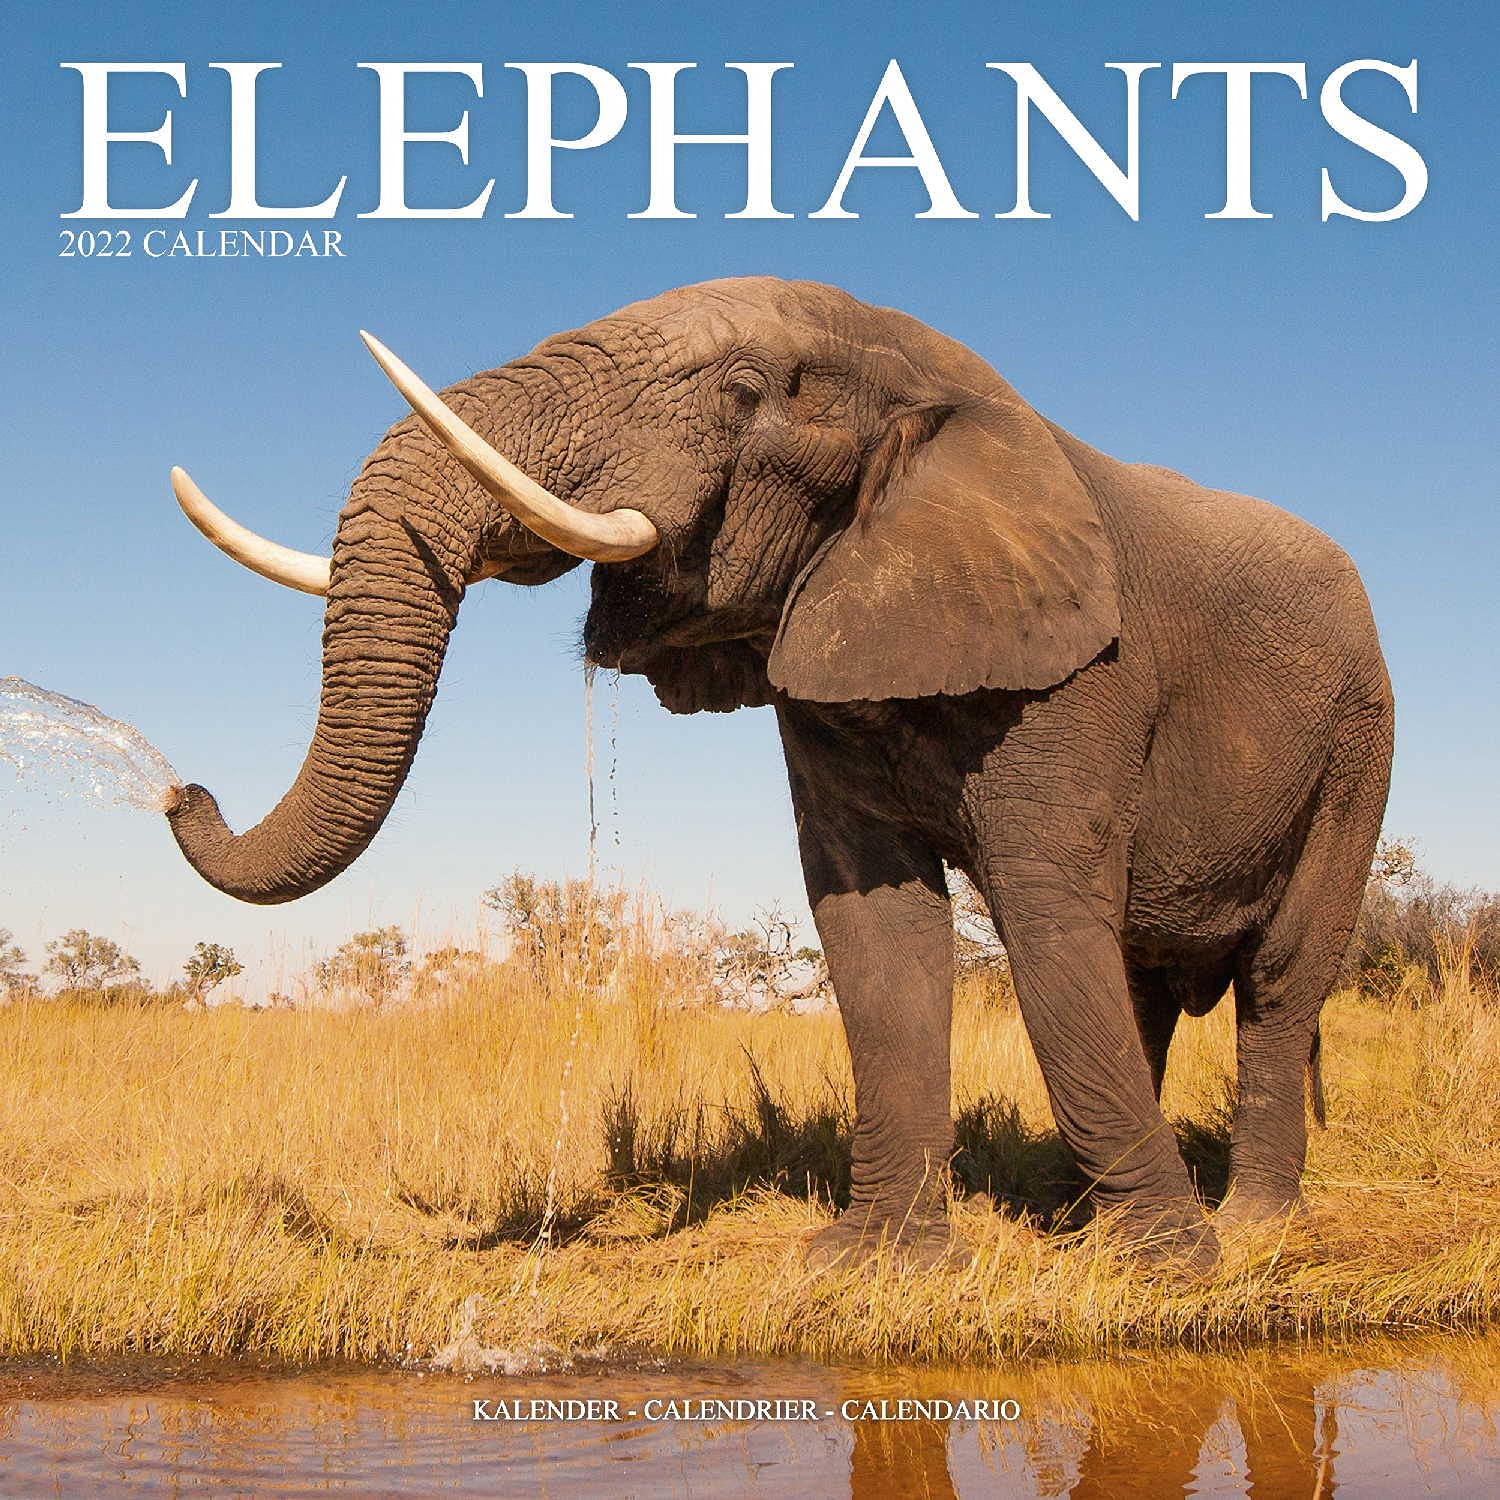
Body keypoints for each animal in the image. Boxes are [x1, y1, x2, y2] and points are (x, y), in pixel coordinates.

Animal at [163, 277, 1393, 1274]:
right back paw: (1092, 1213)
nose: (181, 790)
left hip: (1359, 745)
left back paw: (1245, 1230)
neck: (937, 379)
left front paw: (1167, 1275)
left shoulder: (1086, 673)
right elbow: (875, 923)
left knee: (1279, 976)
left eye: (747, 389)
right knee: (1142, 980)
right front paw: (869, 1267)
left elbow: (1046, 913)